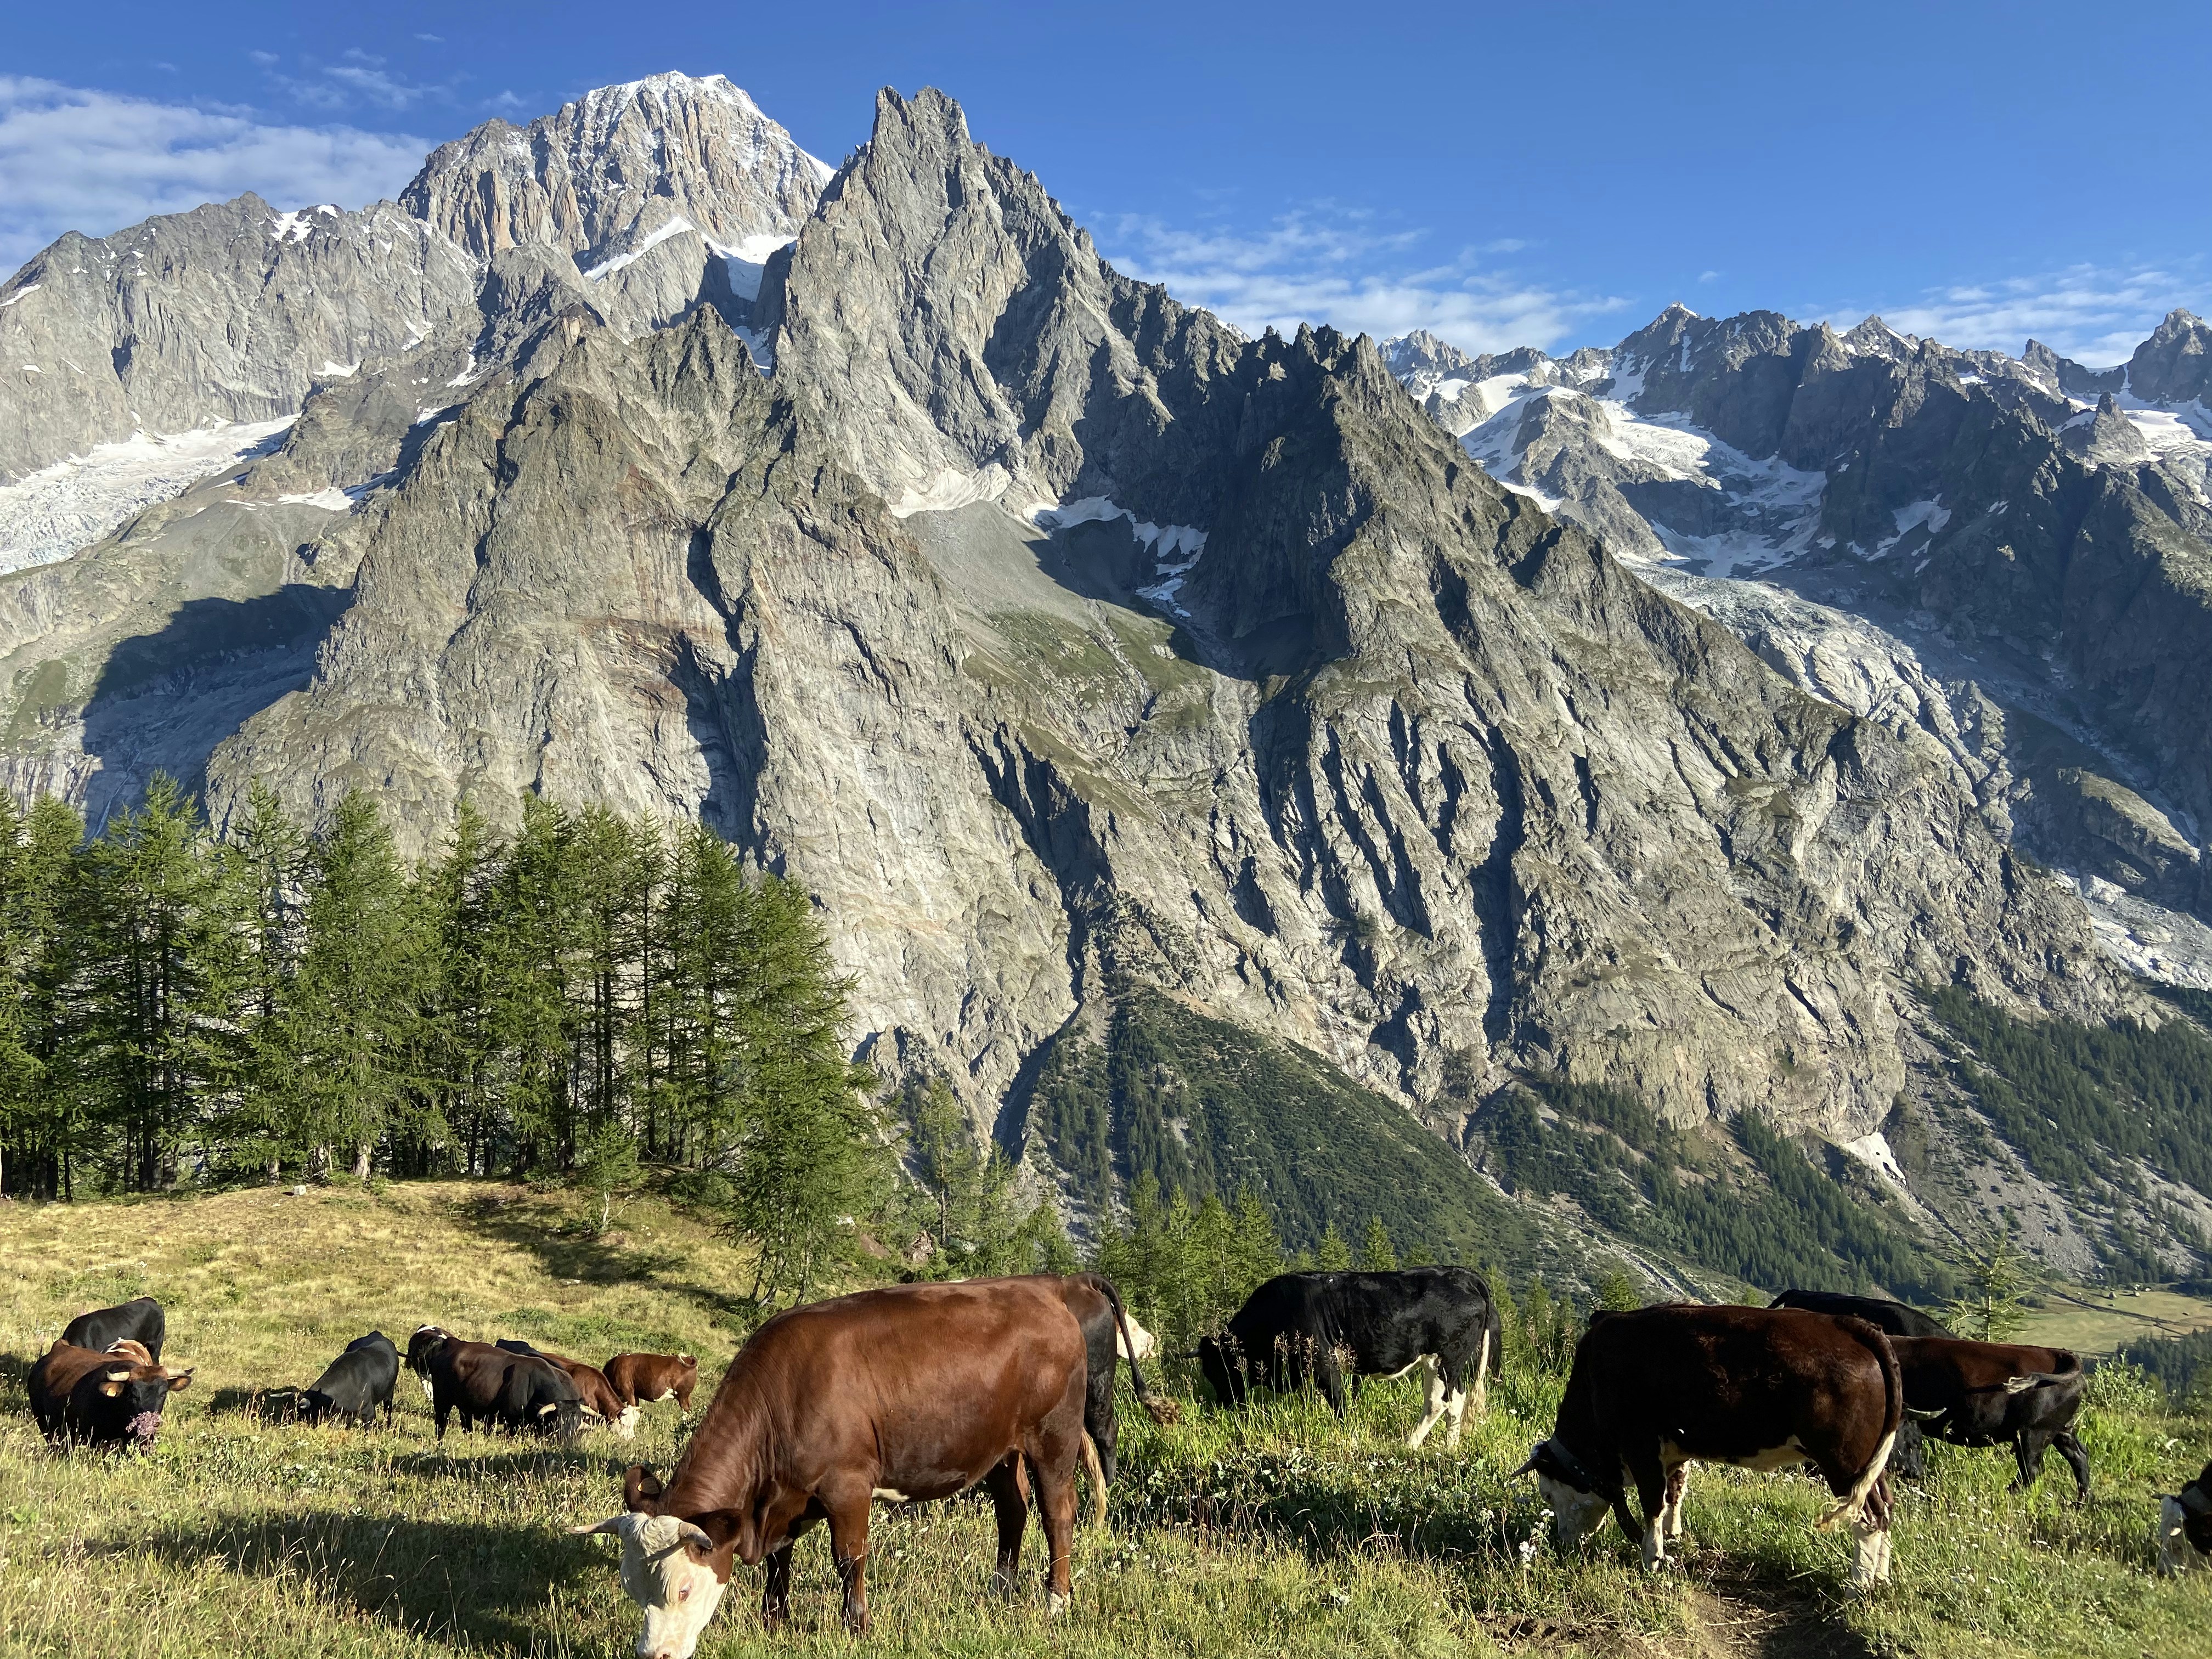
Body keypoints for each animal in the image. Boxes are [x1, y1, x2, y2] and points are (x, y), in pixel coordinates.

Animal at [407, 1325, 583, 1444]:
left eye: (576, 1424)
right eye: (556, 1422)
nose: (568, 1443)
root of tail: (451, 1343)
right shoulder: (512, 1423)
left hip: (465, 1406)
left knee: (467, 1426)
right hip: (442, 1400)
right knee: (441, 1424)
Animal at [1196, 1267, 1501, 1448]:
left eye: (1217, 1369)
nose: (1224, 1405)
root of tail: (1463, 1275)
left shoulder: (1323, 1363)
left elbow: (1338, 1402)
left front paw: (1349, 1436)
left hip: (1443, 1358)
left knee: (1439, 1403)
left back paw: (1408, 1445)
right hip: (1452, 1364)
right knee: (1457, 1401)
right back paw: (1449, 1449)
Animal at [1513, 1304, 1901, 1587]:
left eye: (1548, 1494)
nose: (1563, 1542)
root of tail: (1846, 1325)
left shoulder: (1640, 1444)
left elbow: (1652, 1501)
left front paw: (1651, 1558)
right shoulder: (1673, 1449)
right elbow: (1675, 1491)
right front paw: (1674, 1536)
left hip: (1844, 1460)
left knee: (1868, 1517)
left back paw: (1859, 1583)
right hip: (1869, 1463)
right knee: (1884, 1508)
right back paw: (1880, 1578)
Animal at [1888, 1336, 2091, 1500]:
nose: (1915, 1474)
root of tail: (2058, 1353)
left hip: (2034, 1434)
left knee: (2031, 1470)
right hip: (2061, 1431)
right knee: (2078, 1458)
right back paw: (2082, 1504)